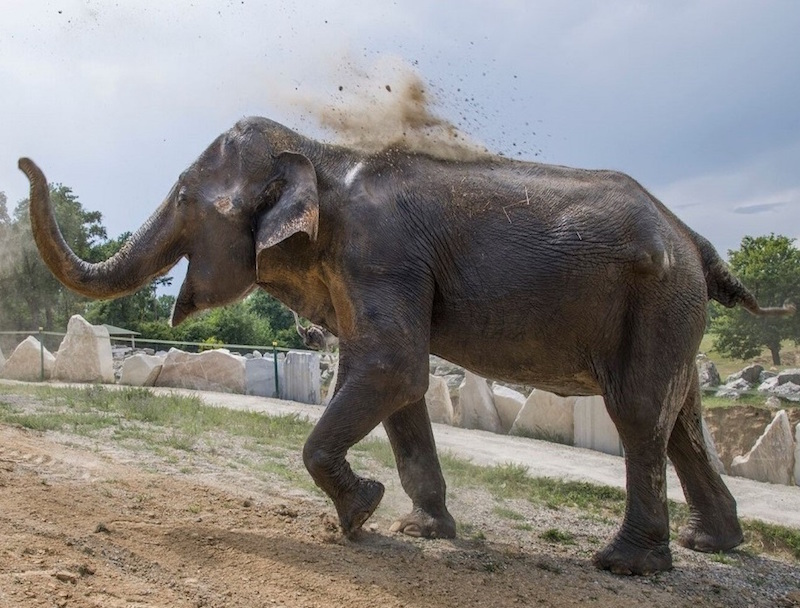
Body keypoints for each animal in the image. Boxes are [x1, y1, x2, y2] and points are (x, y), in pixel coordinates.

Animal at [18, 117, 792, 576]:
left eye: (183, 200)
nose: (26, 159)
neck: (323, 157)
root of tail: (694, 238)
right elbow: (402, 389)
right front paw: (418, 530)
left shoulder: (380, 253)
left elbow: (394, 368)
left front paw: (361, 514)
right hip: (672, 308)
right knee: (682, 419)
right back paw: (709, 546)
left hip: (656, 300)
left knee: (638, 413)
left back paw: (623, 564)